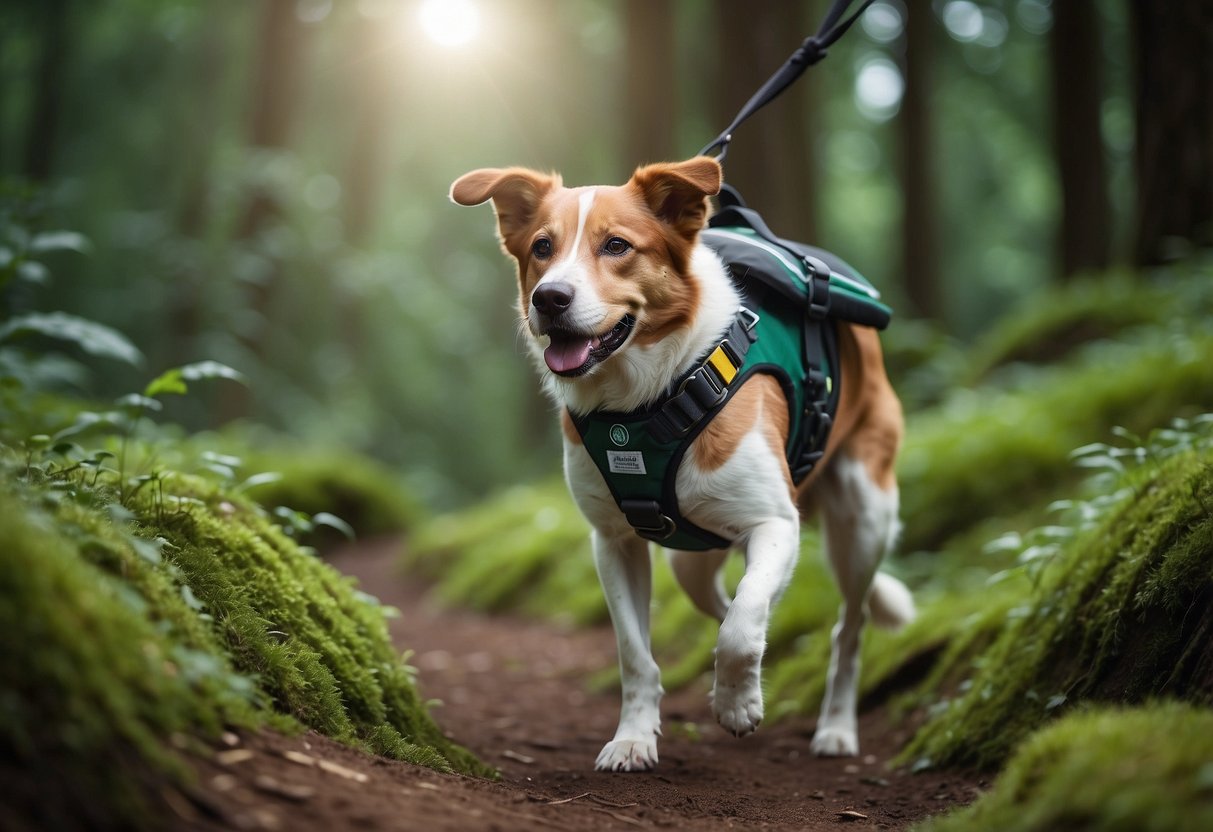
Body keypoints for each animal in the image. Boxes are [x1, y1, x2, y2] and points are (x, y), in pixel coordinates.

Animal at [451, 157, 912, 776]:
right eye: (542, 247)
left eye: (617, 245)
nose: (549, 298)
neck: (646, 398)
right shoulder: (614, 541)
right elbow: (635, 651)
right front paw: (633, 738)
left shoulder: (775, 523)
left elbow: (742, 627)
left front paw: (736, 704)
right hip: (691, 558)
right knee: (724, 601)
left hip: (863, 517)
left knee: (848, 627)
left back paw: (836, 727)